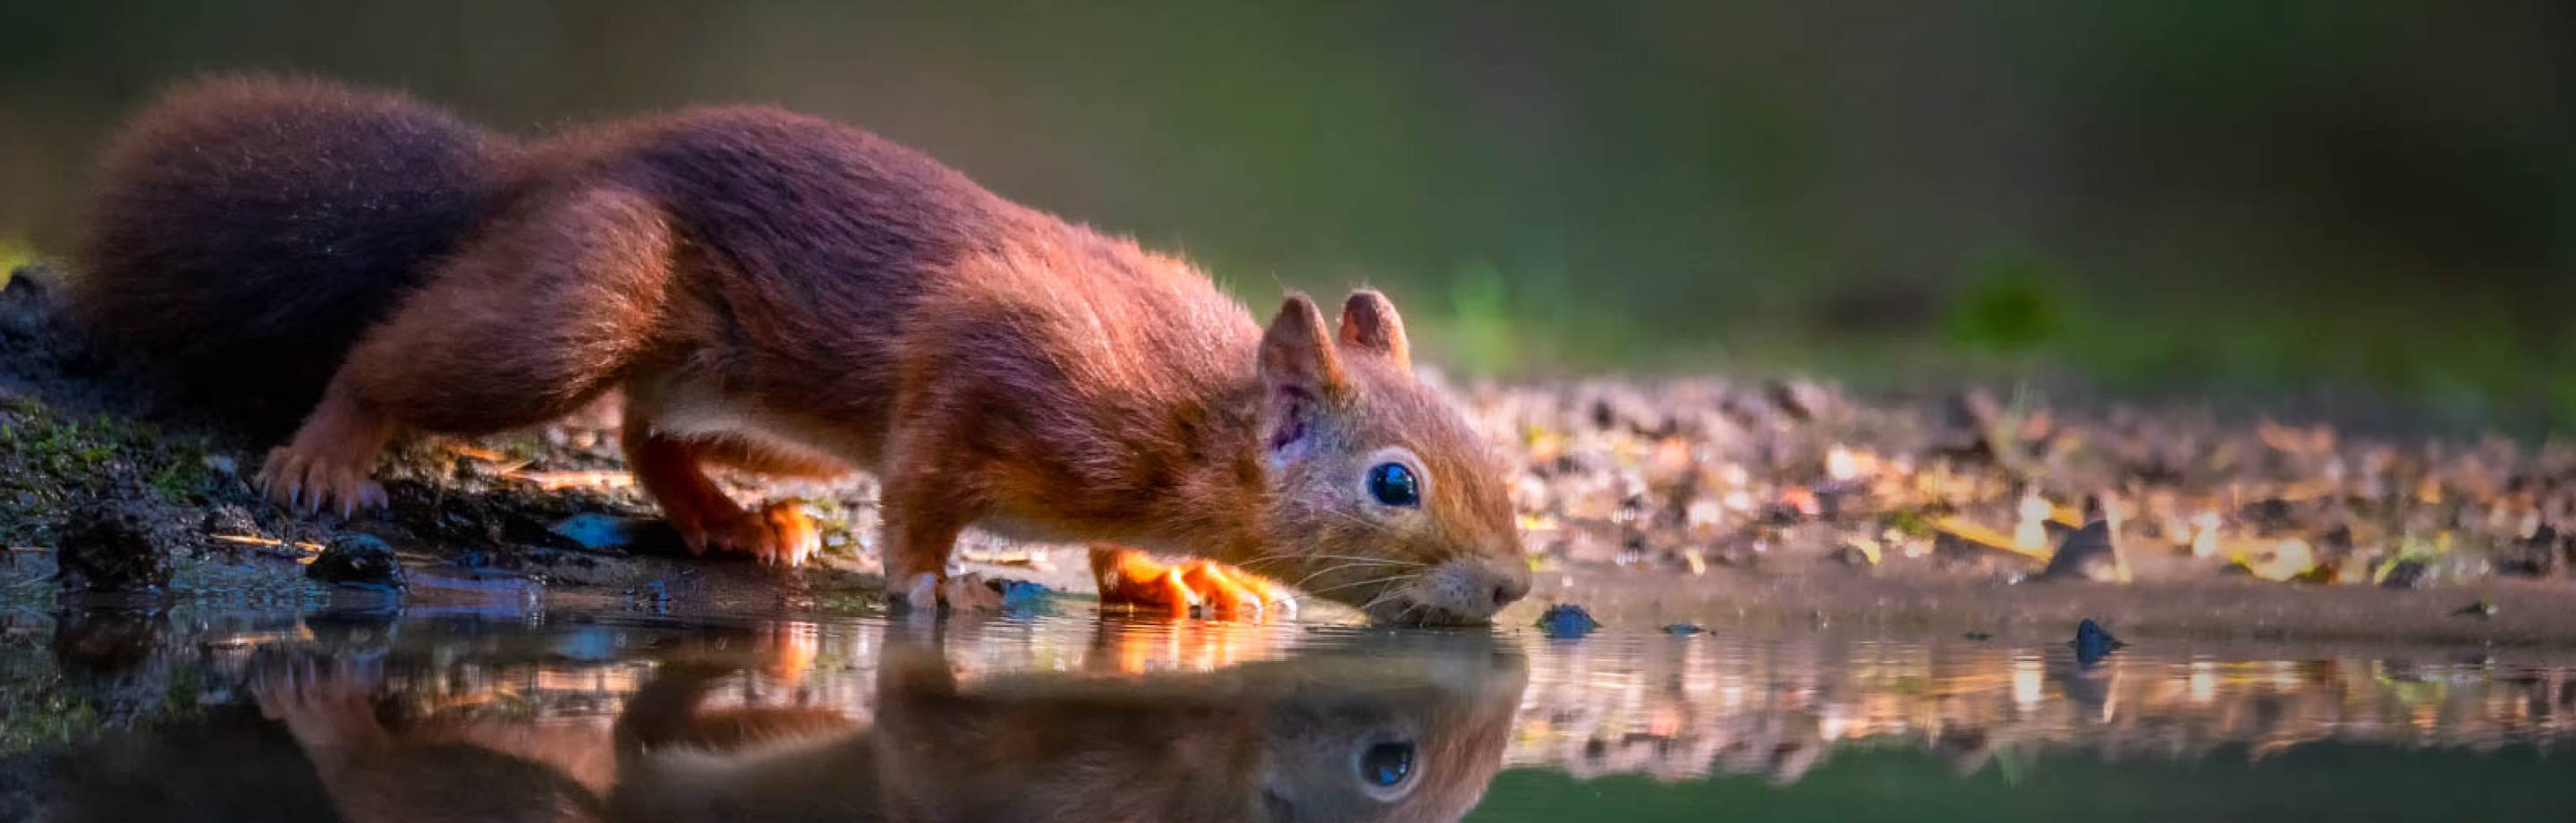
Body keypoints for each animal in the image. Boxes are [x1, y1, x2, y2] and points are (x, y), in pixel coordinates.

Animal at [70, 75, 1530, 622]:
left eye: (1493, 447)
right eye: (1393, 483)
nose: (1516, 589)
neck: (1191, 419)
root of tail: (545, 170)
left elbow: (1117, 546)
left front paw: (1176, 579)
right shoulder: (993, 366)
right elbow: (928, 481)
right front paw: (934, 585)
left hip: (755, 402)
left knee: (648, 431)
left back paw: (730, 521)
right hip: (573, 305)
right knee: (406, 356)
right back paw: (327, 456)